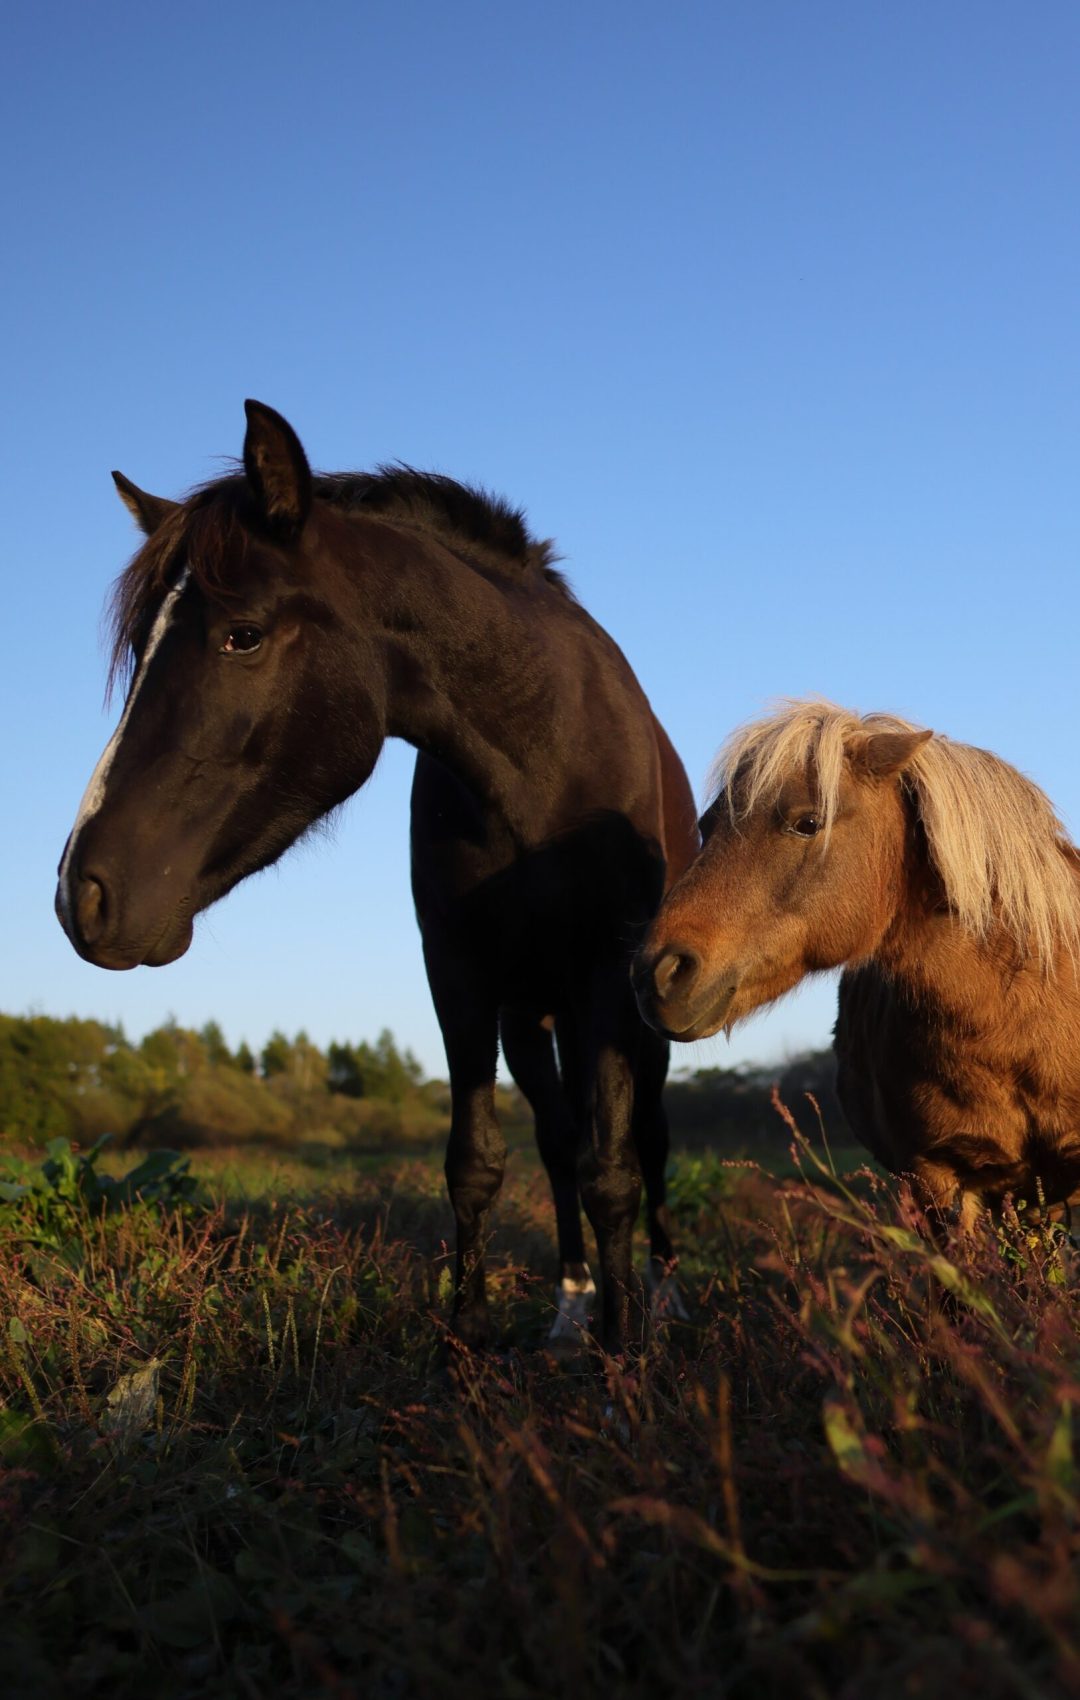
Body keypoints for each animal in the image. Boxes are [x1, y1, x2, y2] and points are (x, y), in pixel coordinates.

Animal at [56, 401, 700, 1353]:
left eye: (242, 634)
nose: (83, 895)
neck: (542, 761)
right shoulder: (460, 975)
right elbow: (478, 1163)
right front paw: (471, 1335)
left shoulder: (607, 978)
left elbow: (615, 1170)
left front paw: (626, 1359)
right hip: (530, 1016)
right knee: (556, 1139)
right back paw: (570, 1304)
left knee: (643, 1142)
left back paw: (662, 1291)